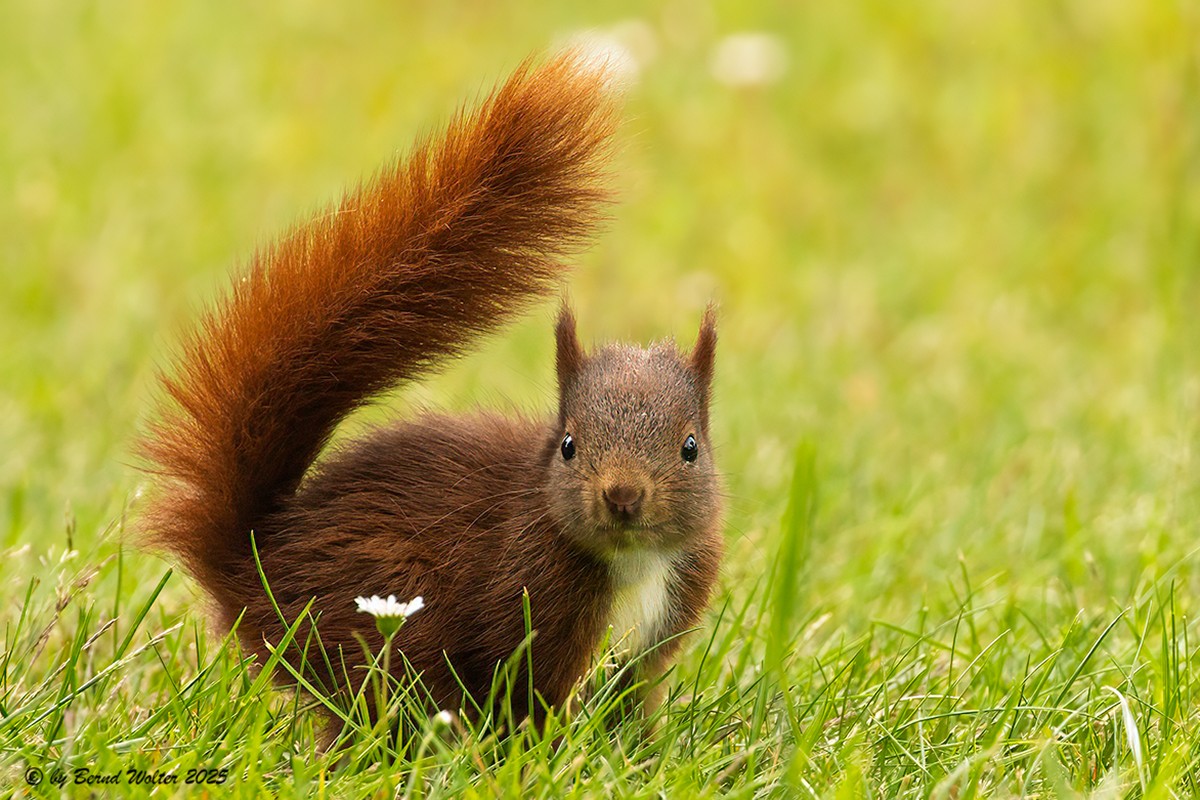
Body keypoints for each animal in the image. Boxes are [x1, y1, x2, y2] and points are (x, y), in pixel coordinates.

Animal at [137, 50, 724, 729]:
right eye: (569, 446)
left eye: (690, 448)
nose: (623, 496)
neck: (634, 561)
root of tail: (255, 567)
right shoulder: (525, 603)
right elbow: (530, 696)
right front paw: (544, 748)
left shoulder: (656, 634)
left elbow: (634, 700)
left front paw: (641, 744)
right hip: (380, 611)